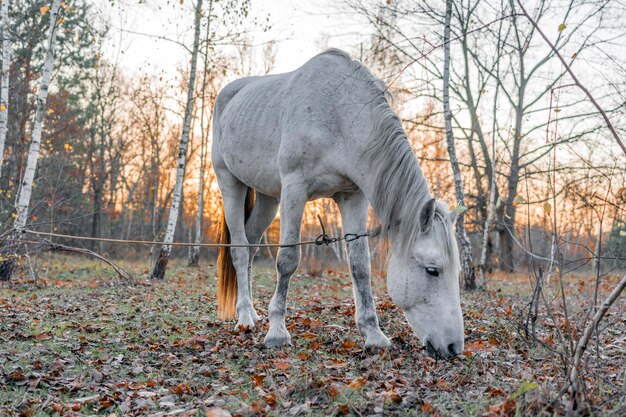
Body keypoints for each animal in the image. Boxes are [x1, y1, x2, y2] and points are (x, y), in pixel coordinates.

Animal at [212, 49, 460, 358]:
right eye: (432, 270)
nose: (454, 347)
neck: (339, 115)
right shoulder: (295, 189)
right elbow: (288, 260)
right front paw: (277, 332)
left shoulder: (353, 196)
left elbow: (360, 265)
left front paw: (373, 335)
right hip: (230, 184)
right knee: (240, 248)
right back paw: (245, 317)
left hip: (269, 198)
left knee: (252, 242)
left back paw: (253, 313)